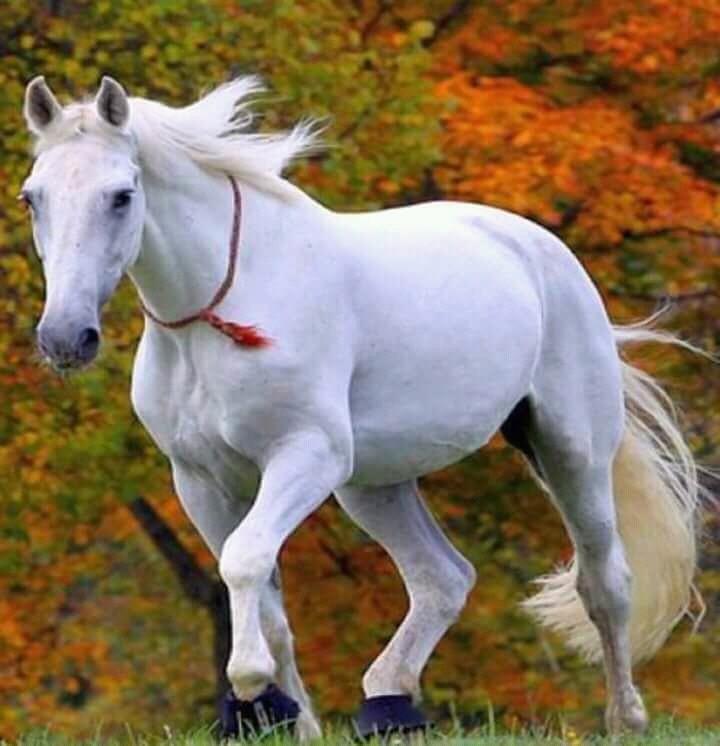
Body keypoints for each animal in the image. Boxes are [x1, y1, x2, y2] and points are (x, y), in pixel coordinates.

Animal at [21, 75, 701, 739]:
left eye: (121, 195)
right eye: (33, 197)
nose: (65, 339)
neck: (222, 310)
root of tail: (543, 250)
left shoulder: (306, 457)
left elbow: (244, 560)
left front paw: (250, 683)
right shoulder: (201, 481)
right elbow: (268, 602)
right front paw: (291, 720)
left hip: (569, 453)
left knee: (604, 581)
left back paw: (624, 718)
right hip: (374, 485)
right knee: (441, 579)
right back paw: (388, 704)